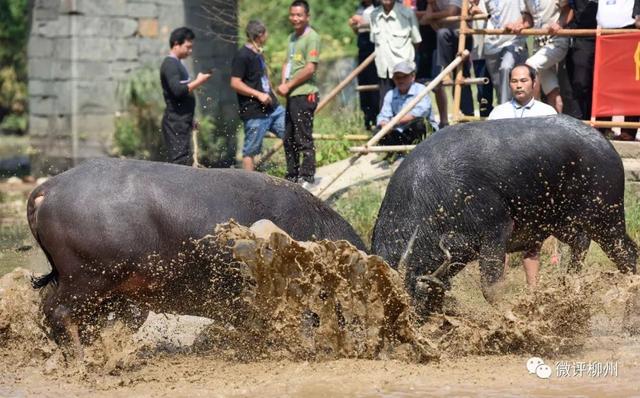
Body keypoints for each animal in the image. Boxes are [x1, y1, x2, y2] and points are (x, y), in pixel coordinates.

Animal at [372, 115, 636, 314]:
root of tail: (603, 143)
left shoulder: (496, 232)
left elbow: (491, 288)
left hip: (605, 218)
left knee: (627, 254)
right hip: (561, 222)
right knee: (581, 242)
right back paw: (570, 284)